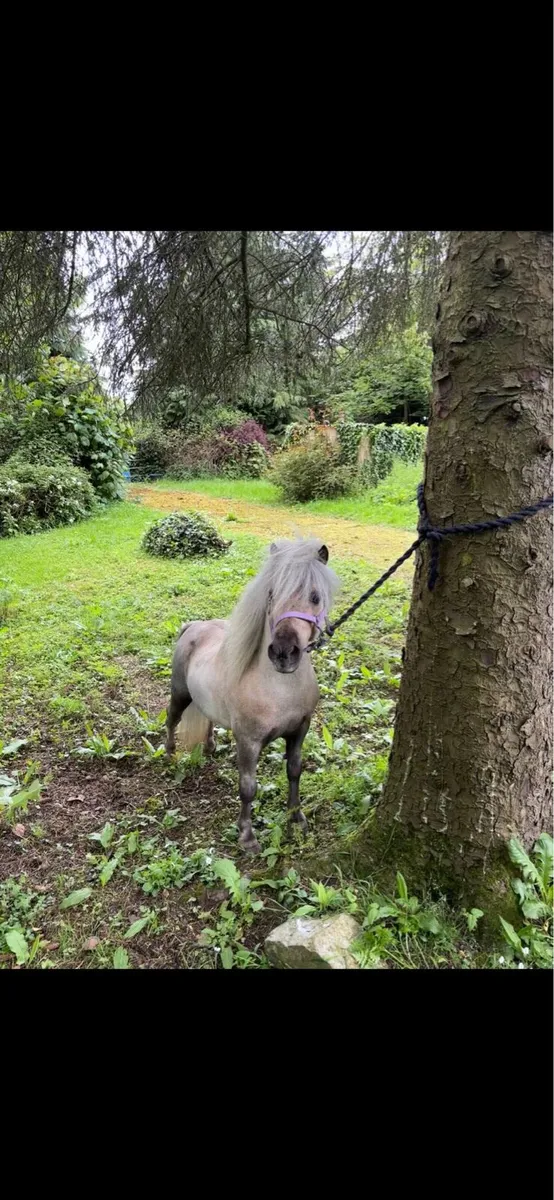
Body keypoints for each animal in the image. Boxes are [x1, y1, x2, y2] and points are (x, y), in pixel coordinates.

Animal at [165, 537, 340, 854]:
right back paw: (170, 754)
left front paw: (296, 818)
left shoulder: (300, 731)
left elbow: (294, 771)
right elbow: (248, 787)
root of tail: (193, 626)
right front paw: (247, 836)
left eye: (315, 597)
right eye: (271, 594)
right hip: (180, 694)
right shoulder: (248, 742)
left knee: (208, 719)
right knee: (171, 720)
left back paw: (209, 747)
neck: (279, 689)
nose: (283, 652)